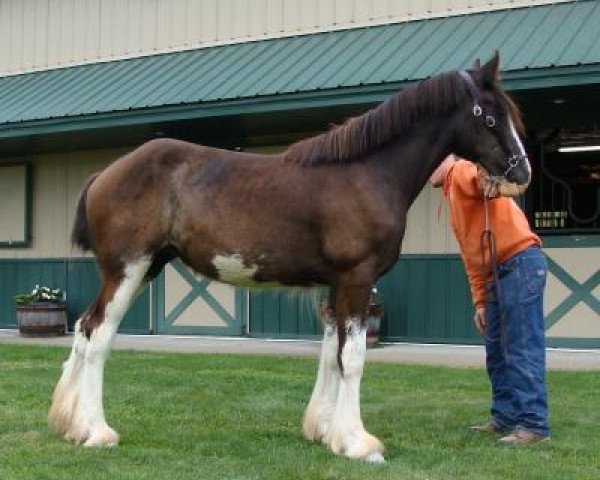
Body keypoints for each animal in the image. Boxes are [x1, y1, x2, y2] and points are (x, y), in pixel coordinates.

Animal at [50, 54, 528, 464]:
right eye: (490, 116)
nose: (521, 173)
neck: (367, 174)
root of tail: (105, 173)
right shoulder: (357, 279)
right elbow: (353, 358)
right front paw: (359, 443)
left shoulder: (336, 287)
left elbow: (331, 355)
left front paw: (326, 431)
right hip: (128, 270)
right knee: (99, 335)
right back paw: (98, 432)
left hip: (144, 268)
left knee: (84, 329)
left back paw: (70, 424)